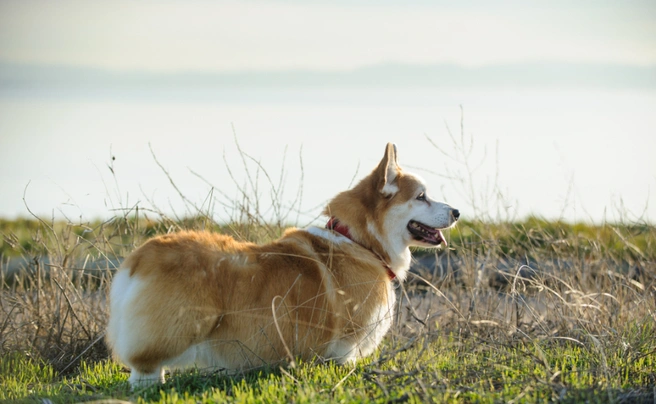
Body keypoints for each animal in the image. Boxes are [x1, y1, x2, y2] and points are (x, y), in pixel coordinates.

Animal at [105, 142, 458, 386]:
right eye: (422, 196)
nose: (456, 212)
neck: (361, 242)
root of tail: (136, 259)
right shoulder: (344, 349)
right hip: (173, 334)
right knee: (145, 371)